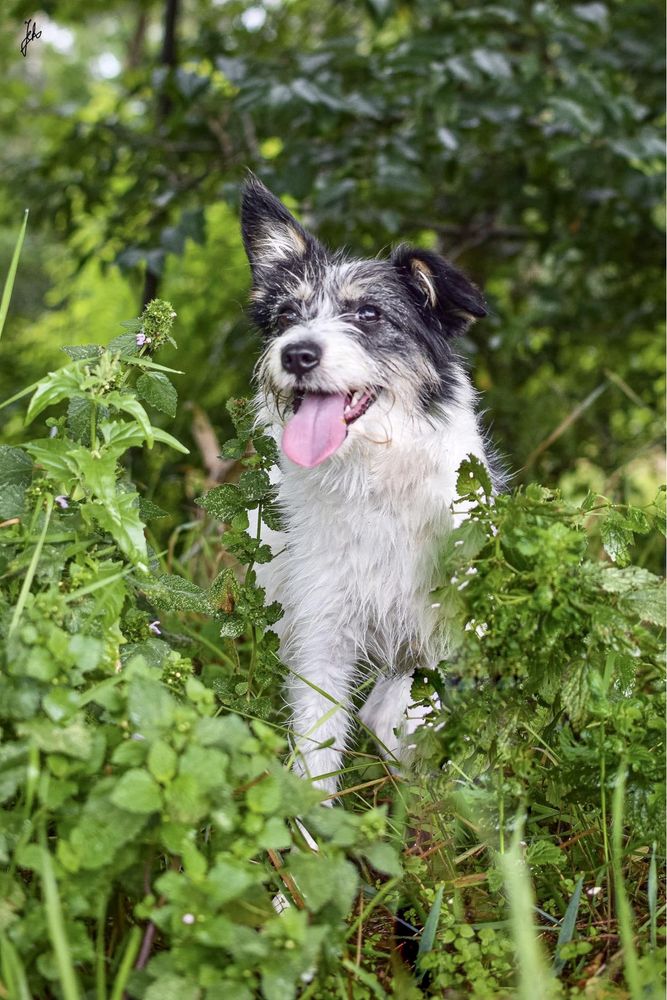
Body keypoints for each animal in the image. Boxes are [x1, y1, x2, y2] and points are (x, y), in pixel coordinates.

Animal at [241, 176, 500, 792]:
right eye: (287, 315)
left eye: (368, 313)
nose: (297, 353)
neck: (372, 480)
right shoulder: (322, 634)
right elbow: (316, 747)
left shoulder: (449, 624)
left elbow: (415, 704)